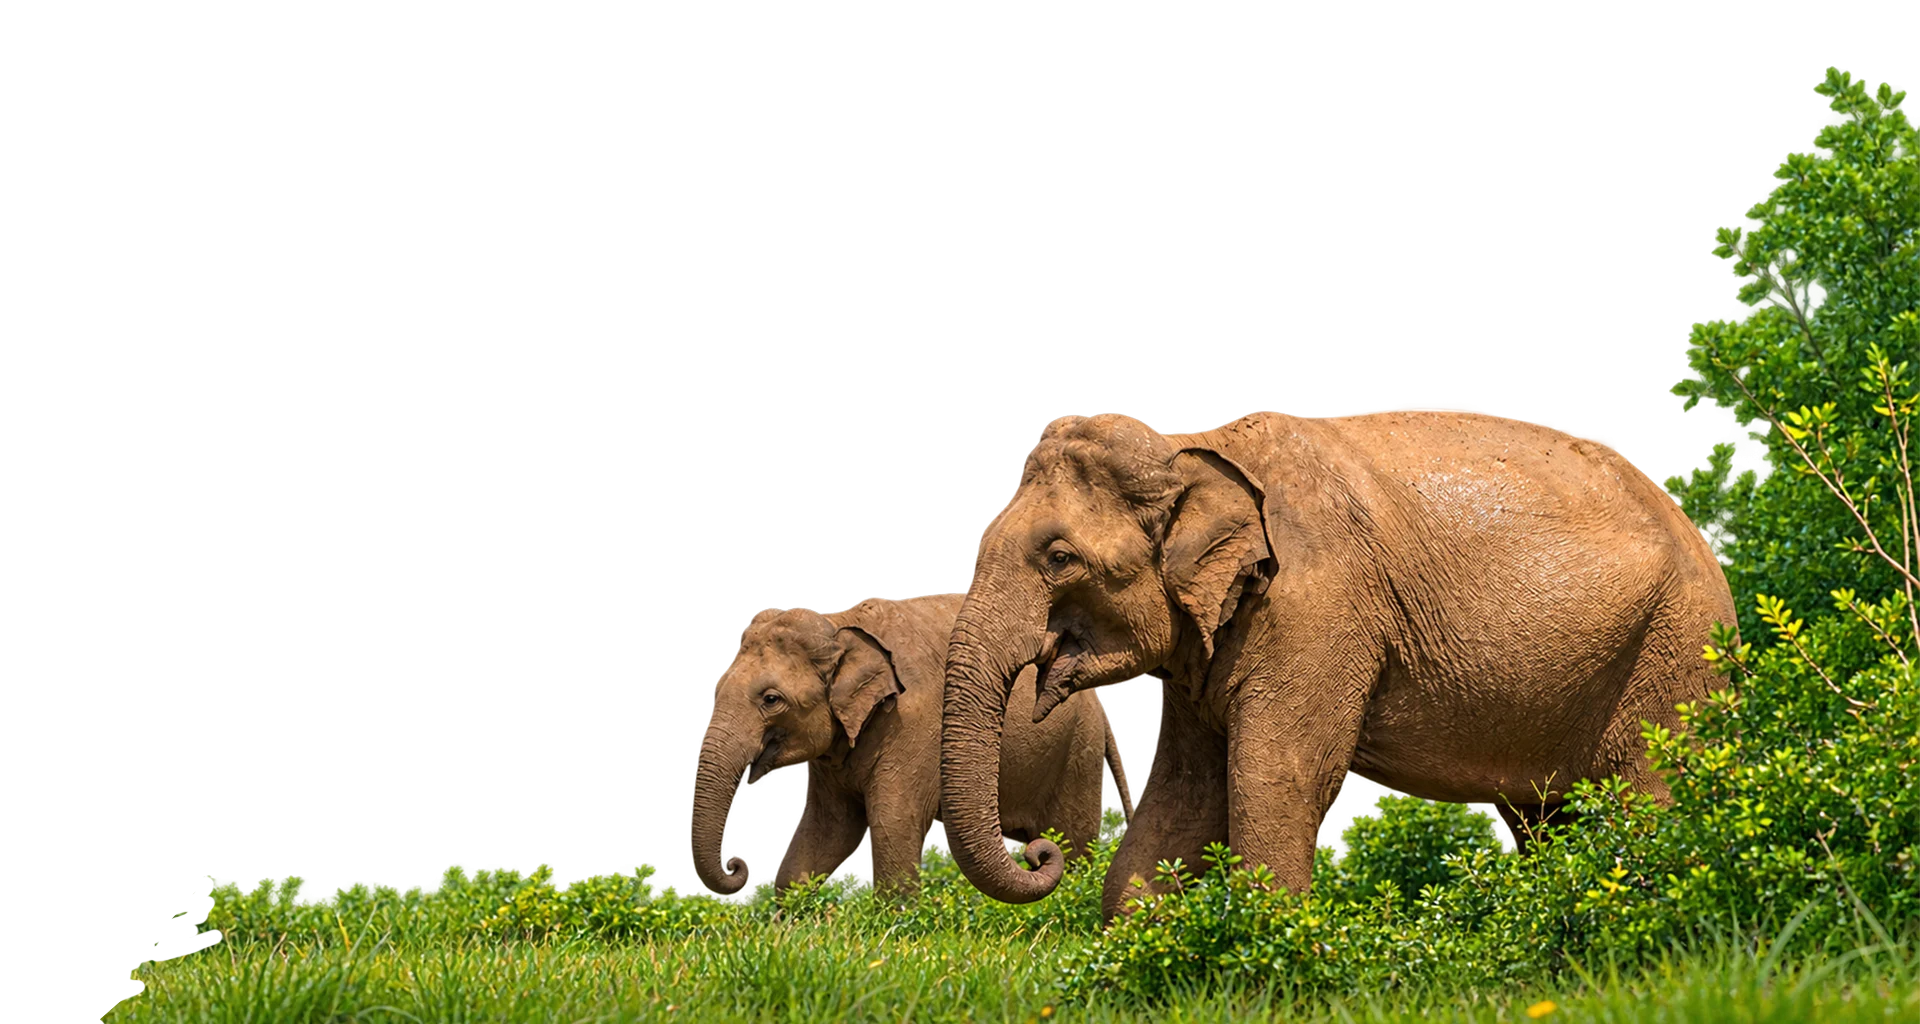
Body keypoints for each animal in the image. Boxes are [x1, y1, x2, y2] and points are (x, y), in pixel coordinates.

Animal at [692, 593, 1134, 897]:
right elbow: (826, 832)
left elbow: (892, 826)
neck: (841, 624)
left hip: (1077, 754)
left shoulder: (913, 724)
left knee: (1072, 844)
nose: (738, 865)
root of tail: (1099, 706)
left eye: (771, 700)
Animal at [938, 409, 1737, 923]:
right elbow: (1186, 794)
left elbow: (1278, 777)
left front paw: (1272, 954)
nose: (1040, 854)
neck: (1191, 444)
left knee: (1651, 797)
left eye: (1060, 557)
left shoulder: (1316, 608)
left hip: (1675, 650)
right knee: (1549, 818)